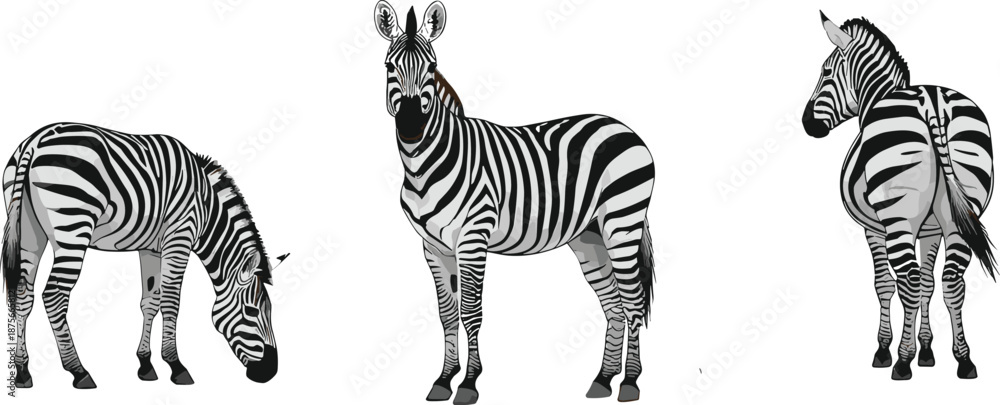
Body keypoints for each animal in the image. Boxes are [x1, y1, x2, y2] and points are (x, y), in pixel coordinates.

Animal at [3, 123, 285, 388]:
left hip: (29, 232)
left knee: (24, 293)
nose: (270, 373)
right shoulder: (179, 237)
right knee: (54, 296)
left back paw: (23, 371)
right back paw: (79, 371)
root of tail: (35, 141)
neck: (206, 208)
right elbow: (171, 301)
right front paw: (176, 365)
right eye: (251, 311)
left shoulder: (151, 248)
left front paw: (146, 364)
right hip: (73, 226)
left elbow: (150, 301)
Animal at [374, 2, 656, 403]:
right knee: (614, 305)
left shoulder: (472, 240)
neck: (425, 164)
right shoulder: (433, 247)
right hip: (590, 237)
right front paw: (443, 379)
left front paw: (469, 383)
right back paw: (603, 379)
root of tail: (622, 126)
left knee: (632, 302)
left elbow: (471, 312)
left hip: (621, 224)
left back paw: (630, 382)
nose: (411, 127)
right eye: (388, 67)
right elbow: (447, 314)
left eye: (432, 67)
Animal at [802, 12, 995, 380]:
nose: (807, 123)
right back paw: (964, 360)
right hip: (959, 215)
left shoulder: (873, 228)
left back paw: (902, 362)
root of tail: (933, 102)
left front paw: (886, 349)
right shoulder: (933, 230)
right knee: (951, 282)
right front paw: (928, 350)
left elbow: (885, 284)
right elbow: (929, 284)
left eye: (826, 72)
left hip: (898, 219)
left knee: (907, 280)